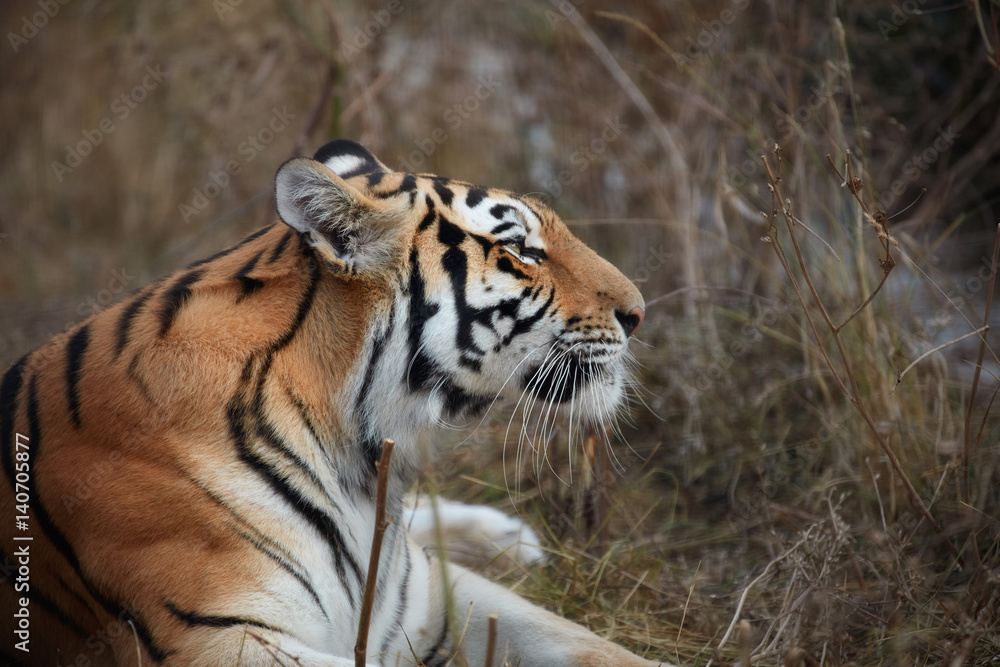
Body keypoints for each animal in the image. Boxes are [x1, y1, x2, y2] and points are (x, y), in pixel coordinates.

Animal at [0, 139, 669, 667]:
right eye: (522, 251)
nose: (639, 312)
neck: (363, 462)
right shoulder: (216, 637)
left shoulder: (425, 590)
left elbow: (589, 644)